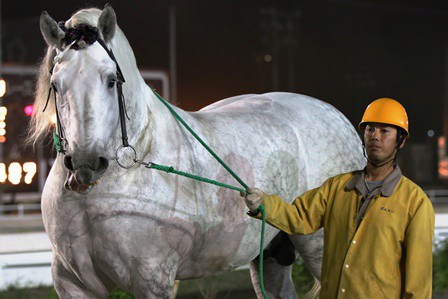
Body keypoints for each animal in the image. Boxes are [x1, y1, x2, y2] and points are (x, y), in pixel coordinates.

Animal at [29, 4, 364, 299]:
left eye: (111, 80)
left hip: (319, 249)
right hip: (269, 255)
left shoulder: (152, 278)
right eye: (56, 85)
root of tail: (339, 118)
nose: (85, 163)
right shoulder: (73, 283)